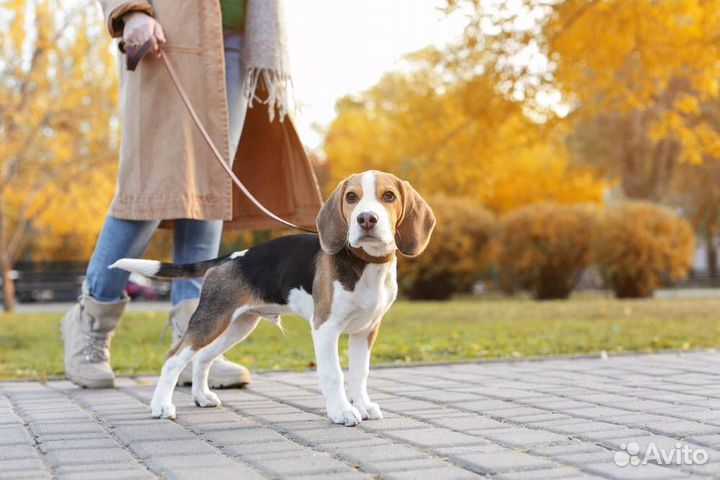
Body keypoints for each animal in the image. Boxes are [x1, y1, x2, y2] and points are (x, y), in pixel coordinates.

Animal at [112, 171, 436, 426]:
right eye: (352, 197)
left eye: (389, 196)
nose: (366, 219)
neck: (366, 262)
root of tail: (228, 258)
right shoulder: (325, 329)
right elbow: (334, 374)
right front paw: (342, 411)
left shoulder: (366, 330)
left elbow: (360, 373)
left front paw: (364, 406)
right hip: (211, 321)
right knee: (173, 358)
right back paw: (160, 406)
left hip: (237, 325)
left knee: (202, 357)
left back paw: (202, 396)